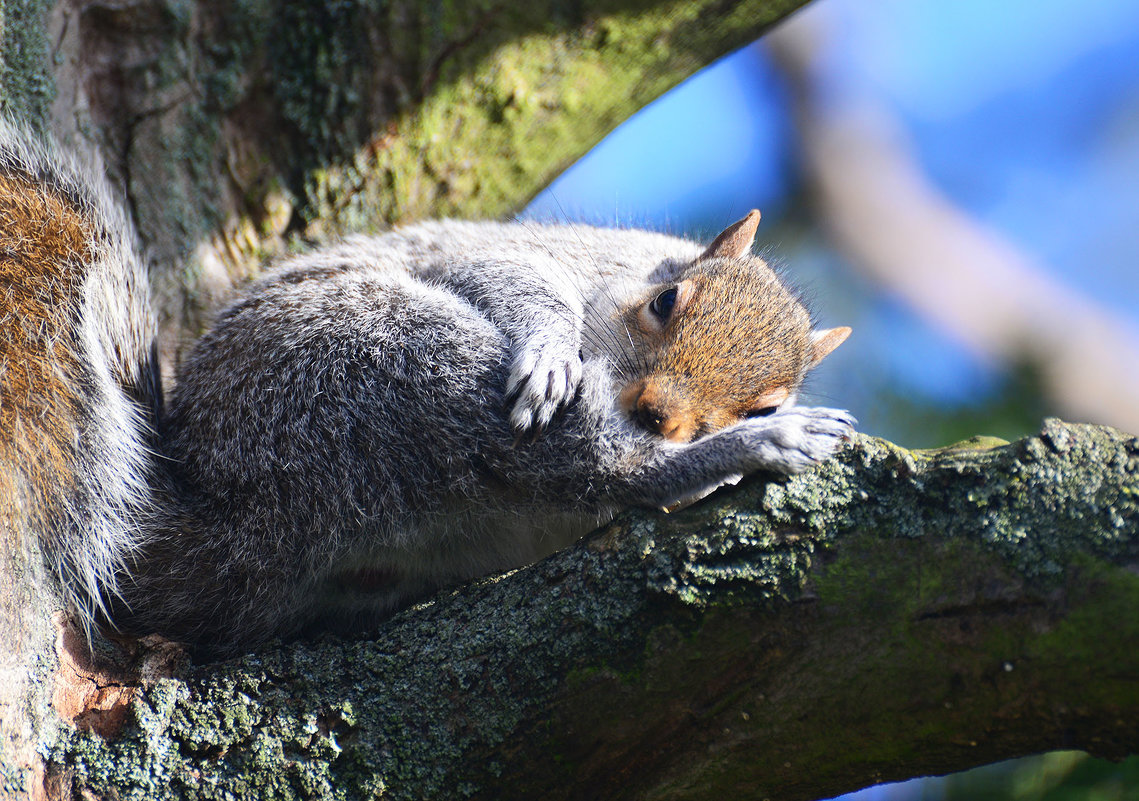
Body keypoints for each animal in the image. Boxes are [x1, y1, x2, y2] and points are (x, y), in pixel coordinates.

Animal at [0, 120, 856, 656]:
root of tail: (229, 512)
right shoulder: (513, 258)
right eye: (667, 301)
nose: (659, 414)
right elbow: (511, 282)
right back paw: (747, 450)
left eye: (763, 393)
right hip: (378, 360)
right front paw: (552, 350)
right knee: (597, 467)